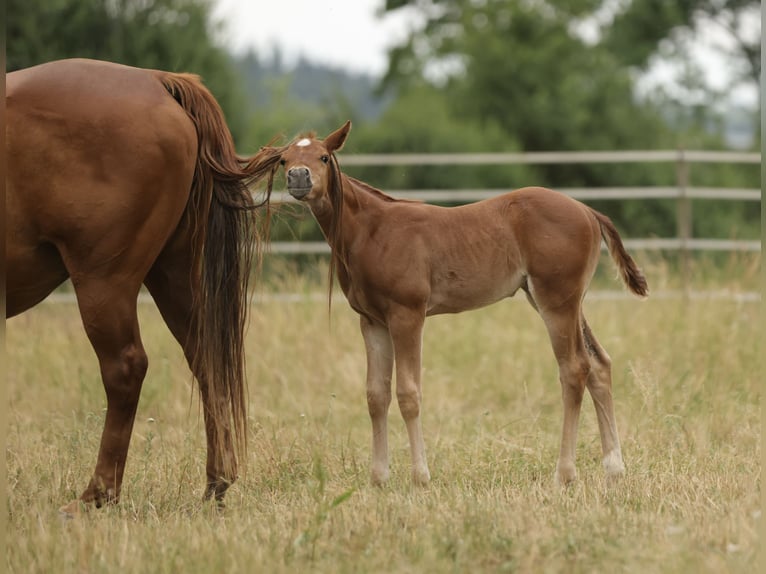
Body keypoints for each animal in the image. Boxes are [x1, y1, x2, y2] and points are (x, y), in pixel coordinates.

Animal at [5, 59, 284, 516]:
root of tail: (158, 80)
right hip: (174, 276)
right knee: (206, 360)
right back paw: (216, 482)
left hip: (104, 283)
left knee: (125, 368)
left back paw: (96, 495)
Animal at [271, 120, 648, 487]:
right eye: (284, 160)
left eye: (323, 157)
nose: (299, 178)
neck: (371, 231)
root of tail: (588, 210)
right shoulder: (372, 321)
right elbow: (376, 395)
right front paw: (378, 479)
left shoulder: (407, 314)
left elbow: (408, 393)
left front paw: (420, 477)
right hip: (561, 301)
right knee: (599, 364)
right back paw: (614, 468)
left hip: (556, 301)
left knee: (574, 369)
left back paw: (565, 474)